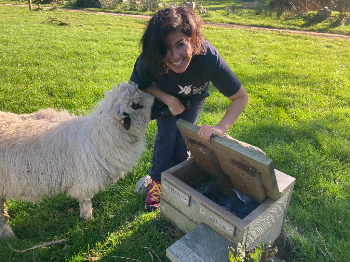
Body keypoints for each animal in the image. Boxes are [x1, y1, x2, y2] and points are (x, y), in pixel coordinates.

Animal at [0, 82, 154, 239]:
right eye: (135, 105)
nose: (157, 101)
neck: (98, 138)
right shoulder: (85, 179)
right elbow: (85, 200)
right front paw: (87, 218)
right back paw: (8, 235)